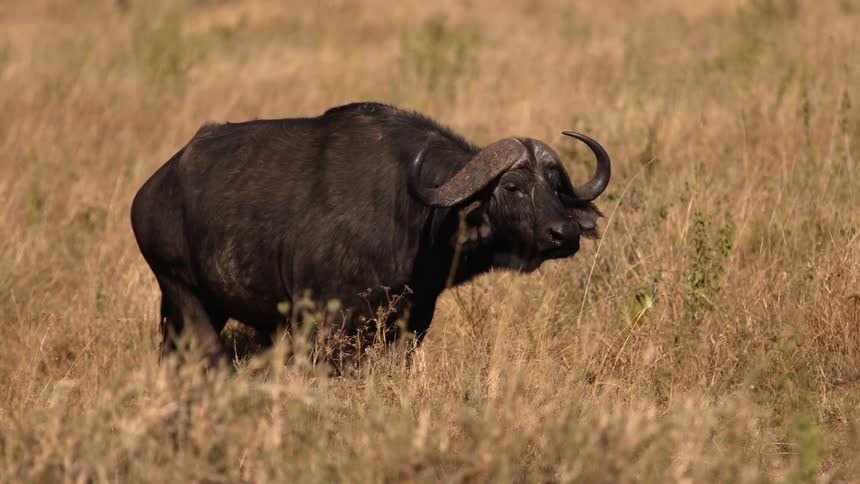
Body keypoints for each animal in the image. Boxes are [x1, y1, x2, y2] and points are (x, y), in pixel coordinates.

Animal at [130, 102, 611, 368]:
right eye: (511, 187)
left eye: (555, 185)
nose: (565, 233)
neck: (412, 214)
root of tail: (149, 193)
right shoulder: (326, 324)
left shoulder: (414, 319)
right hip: (184, 295)